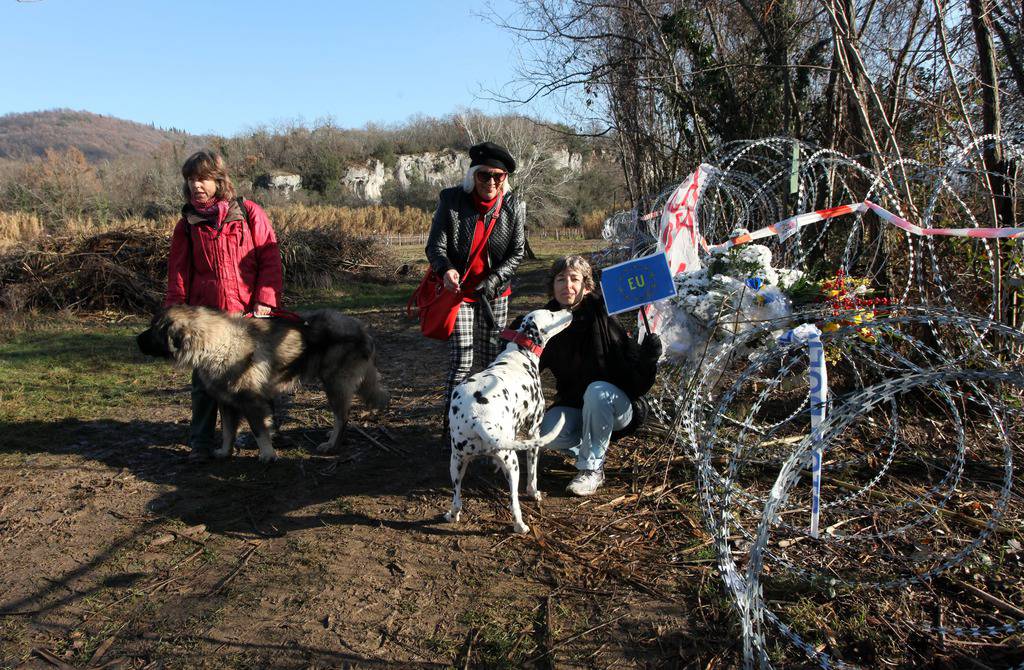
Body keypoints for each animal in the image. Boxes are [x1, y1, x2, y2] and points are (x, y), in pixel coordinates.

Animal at [446, 309, 577, 536]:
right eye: (551, 313)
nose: (568, 310)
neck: (519, 353)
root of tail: (476, 417)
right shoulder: (533, 433)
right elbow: (532, 472)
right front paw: (534, 492)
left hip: (457, 463)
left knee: (457, 500)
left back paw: (452, 515)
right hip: (512, 463)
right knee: (513, 502)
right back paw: (520, 525)